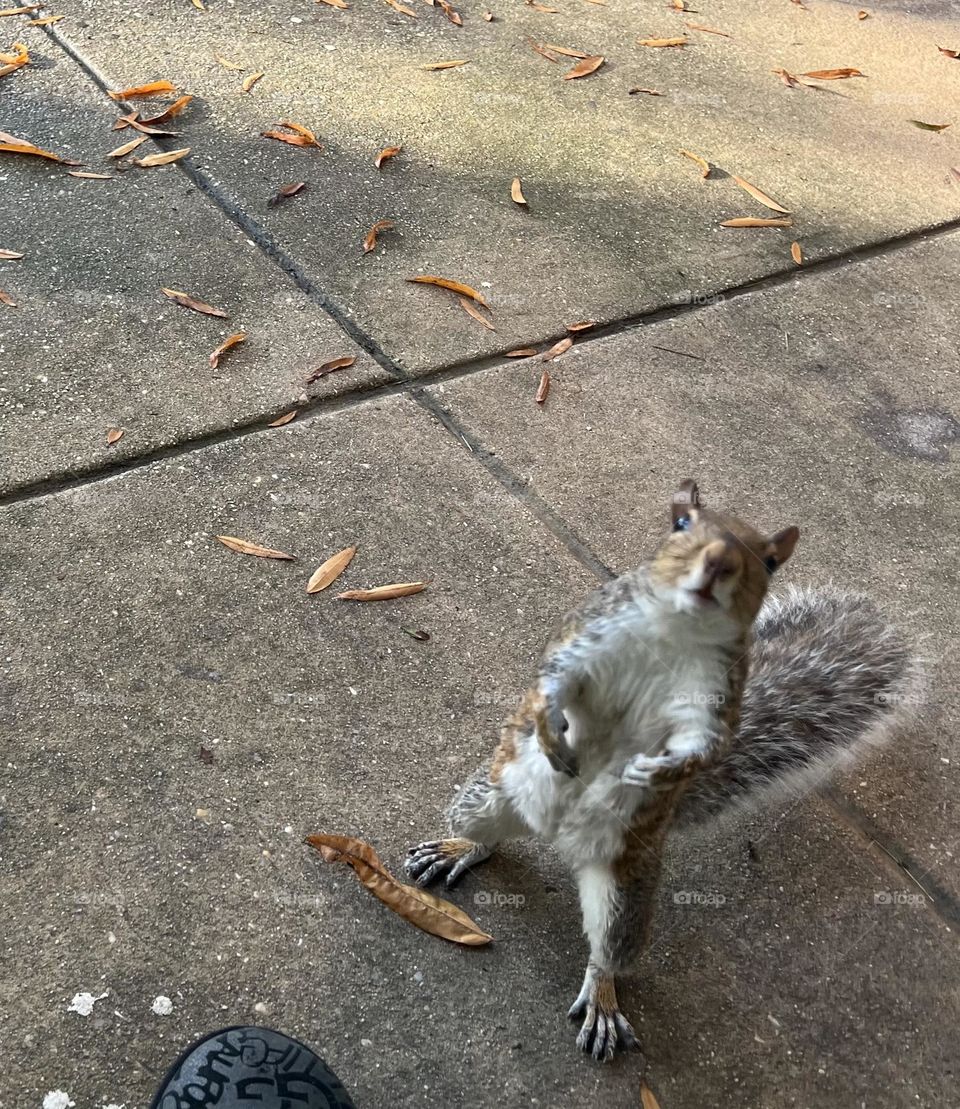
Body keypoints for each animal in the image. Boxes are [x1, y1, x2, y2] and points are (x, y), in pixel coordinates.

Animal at [406, 481, 917, 1062]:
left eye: (767, 560)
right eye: (680, 524)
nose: (718, 561)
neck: (677, 631)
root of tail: (555, 836)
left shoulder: (712, 698)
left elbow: (704, 744)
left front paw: (661, 769)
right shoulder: (583, 637)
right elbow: (553, 678)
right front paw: (551, 727)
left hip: (623, 892)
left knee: (607, 952)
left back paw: (603, 998)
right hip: (489, 796)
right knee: (486, 835)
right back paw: (456, 848)